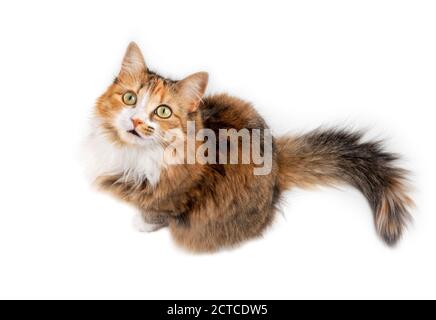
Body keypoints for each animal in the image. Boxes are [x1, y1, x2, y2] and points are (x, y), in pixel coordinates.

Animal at [84, 42, 412, 252]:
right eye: (129, 98)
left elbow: (159, 210)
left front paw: (141, 222)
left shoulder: (181, 193)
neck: (134, 155)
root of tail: (277, 160)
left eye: (163, 111)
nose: (137, 121)